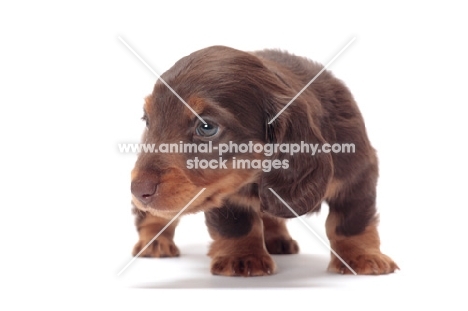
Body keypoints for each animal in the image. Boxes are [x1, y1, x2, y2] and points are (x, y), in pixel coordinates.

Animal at [129, 45, 398, 278]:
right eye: (147, 120)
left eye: (206, 127)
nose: (138, 189)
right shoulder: (225, 191)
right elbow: (238, 224)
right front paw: (242, 257)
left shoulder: (357, 175)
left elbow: (351, 221)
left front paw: (362, 256)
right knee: (153, 218)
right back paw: (154, 242)